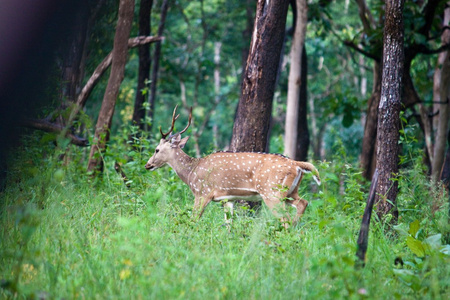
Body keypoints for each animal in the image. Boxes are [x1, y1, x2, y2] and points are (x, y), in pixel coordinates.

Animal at [146, 105, 322, 227]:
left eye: (157, 149)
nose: (148, 165)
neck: (191, 172)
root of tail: (296, 164)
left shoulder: (203, 193)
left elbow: (193, 219)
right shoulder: (227, 198)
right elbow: (228, 224)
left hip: (273, 192)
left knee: (285, 219)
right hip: (291, 191)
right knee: (303, 203)